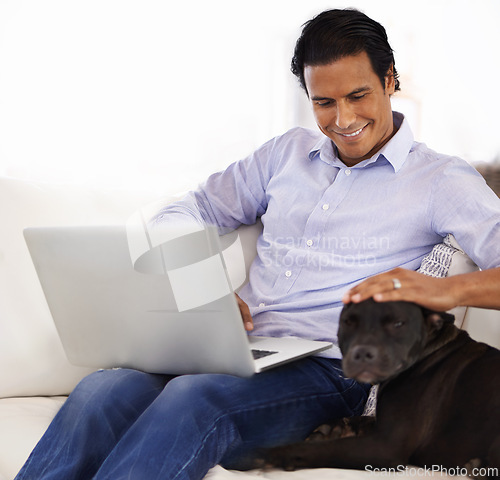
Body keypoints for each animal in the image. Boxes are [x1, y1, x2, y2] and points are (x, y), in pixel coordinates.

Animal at [262, 300, 500, 476]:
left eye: (398, 324)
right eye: (349, 322)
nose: (362, 352)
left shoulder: (386, 446)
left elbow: (325, 450)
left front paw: (277, 453)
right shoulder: (382, 428)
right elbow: (362, 419)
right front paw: (334, 428)